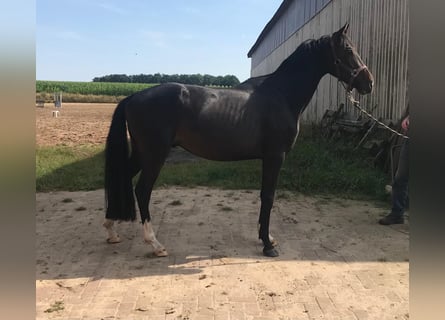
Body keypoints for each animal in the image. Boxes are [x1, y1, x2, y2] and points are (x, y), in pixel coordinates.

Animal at [102, 22, 372, 258]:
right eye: (348, 49)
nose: (368, 82)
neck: (281, 95)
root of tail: (133, 97)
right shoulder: (275, 156)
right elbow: (268, 196)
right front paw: (267, 246)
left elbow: (265, 196)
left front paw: (267, 237)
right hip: (154, 154)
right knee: (142, 190)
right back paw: (155, 244)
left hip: (142, 153)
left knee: (122, 177)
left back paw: (111, 230)